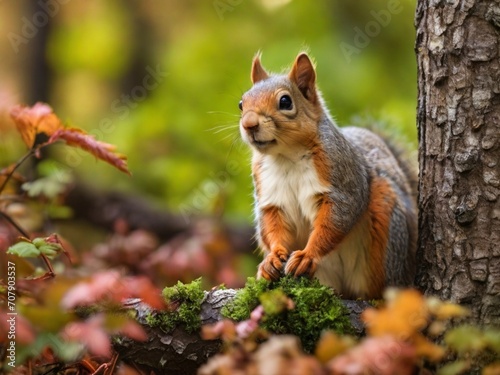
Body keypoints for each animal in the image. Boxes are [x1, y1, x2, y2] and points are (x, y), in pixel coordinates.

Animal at [238, 52, 418, 300]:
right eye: (241, 103)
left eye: (285, 102)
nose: (249, 124)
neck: (287, 156)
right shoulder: (270, 197)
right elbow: (272, 226)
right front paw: (271, 259)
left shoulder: (342, 180)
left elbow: (334, 221)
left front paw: (307, 256)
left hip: (387, 229)